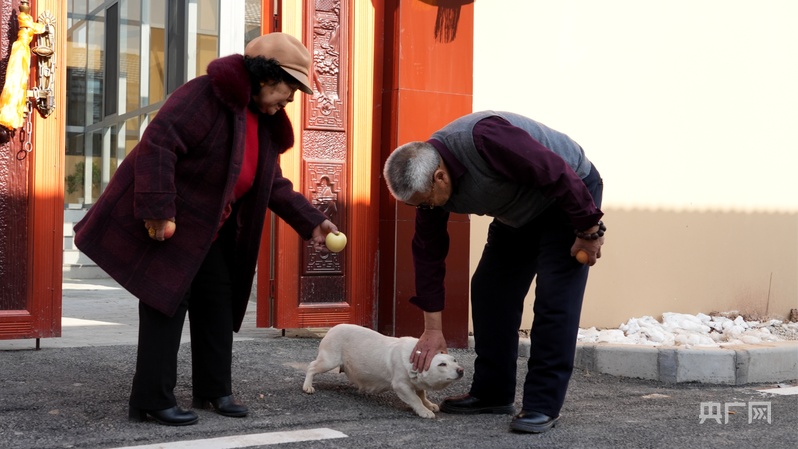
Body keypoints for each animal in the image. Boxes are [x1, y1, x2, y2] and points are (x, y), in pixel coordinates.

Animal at [304, 322, 466, 416]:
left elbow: (421, 394)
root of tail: (332, 329)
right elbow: (415, 398)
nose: (461, 370)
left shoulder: (418, 383)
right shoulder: (401, 385)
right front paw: (424, 411)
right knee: (311, 366)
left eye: (454, 360)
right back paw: (307, 386)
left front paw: (429, 404)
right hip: (329, 360)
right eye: (442, 364)